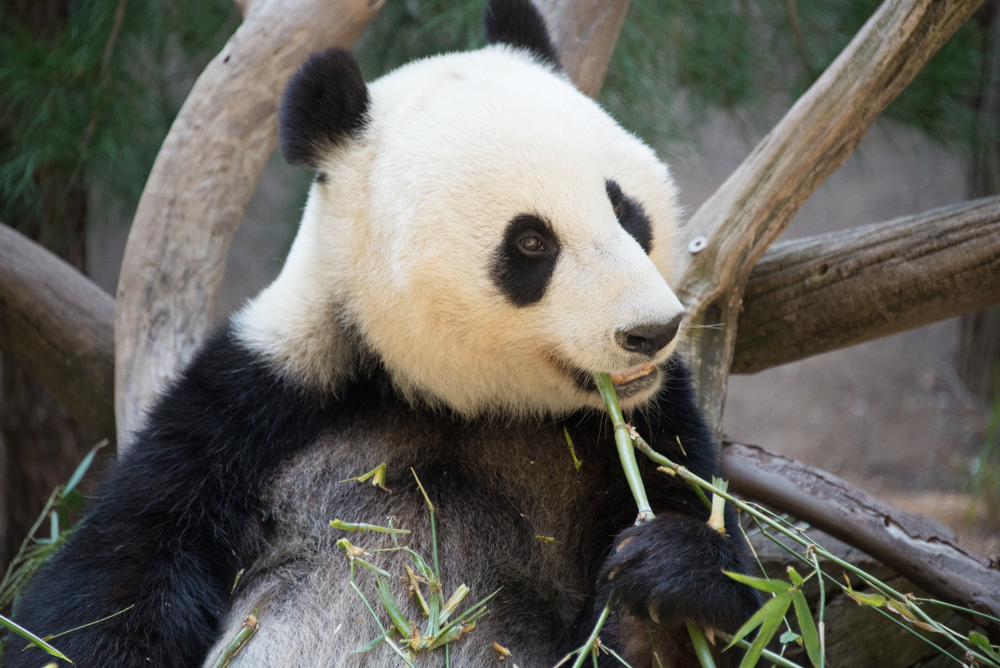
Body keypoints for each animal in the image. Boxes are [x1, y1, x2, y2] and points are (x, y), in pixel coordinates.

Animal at [5, 1, 756, 668]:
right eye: (532, 243)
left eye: (626, 210)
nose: (651, 331)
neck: (457, 399)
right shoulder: (254, 405)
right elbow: (115, 580)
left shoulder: (649, 428)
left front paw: (664, 586)